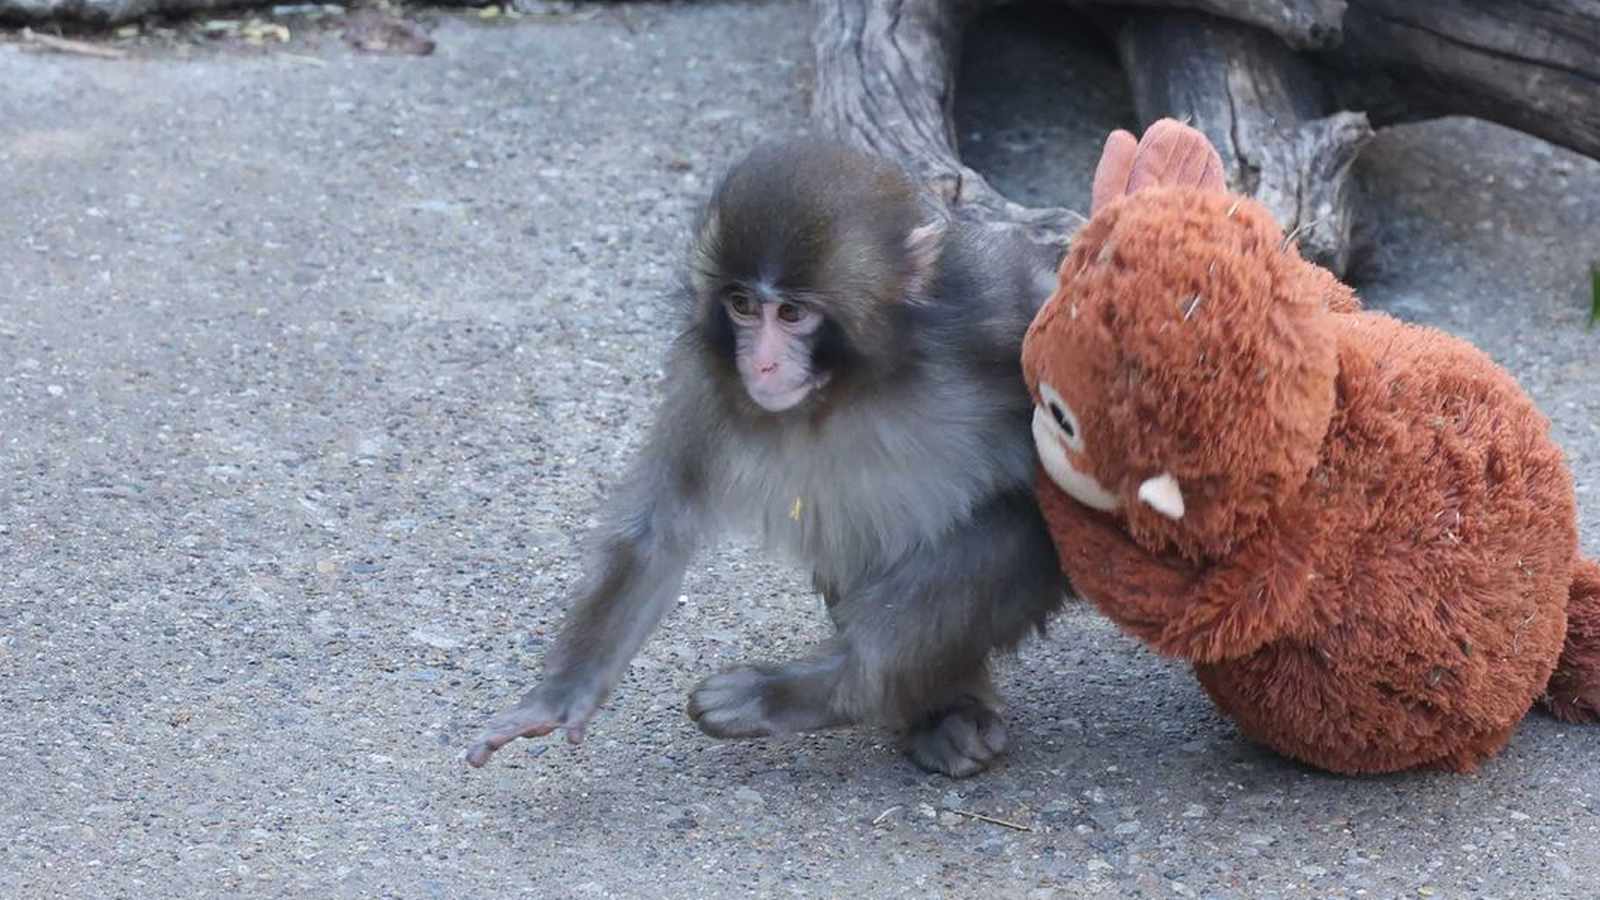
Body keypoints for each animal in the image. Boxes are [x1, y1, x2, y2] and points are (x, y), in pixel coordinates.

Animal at [464, 138, 1070, 778]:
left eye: (792, 313)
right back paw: (937, 711)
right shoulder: (707, 381)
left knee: (1010, 530)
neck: (854, 386)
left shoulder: (995, 313)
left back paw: (822, 689)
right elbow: (657, 531)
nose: (762, 363)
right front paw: (560, 696)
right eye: (741, 306)